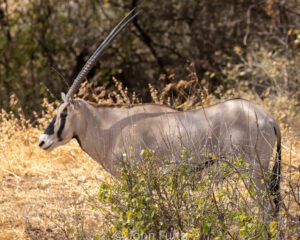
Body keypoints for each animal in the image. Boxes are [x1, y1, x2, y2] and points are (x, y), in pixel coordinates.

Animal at [39, 9, 282, 216]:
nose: (42, 141)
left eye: (63, 113)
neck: (109, 127)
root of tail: (269, 118)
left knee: (267, 210)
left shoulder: (138, 179)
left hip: (253, 172)